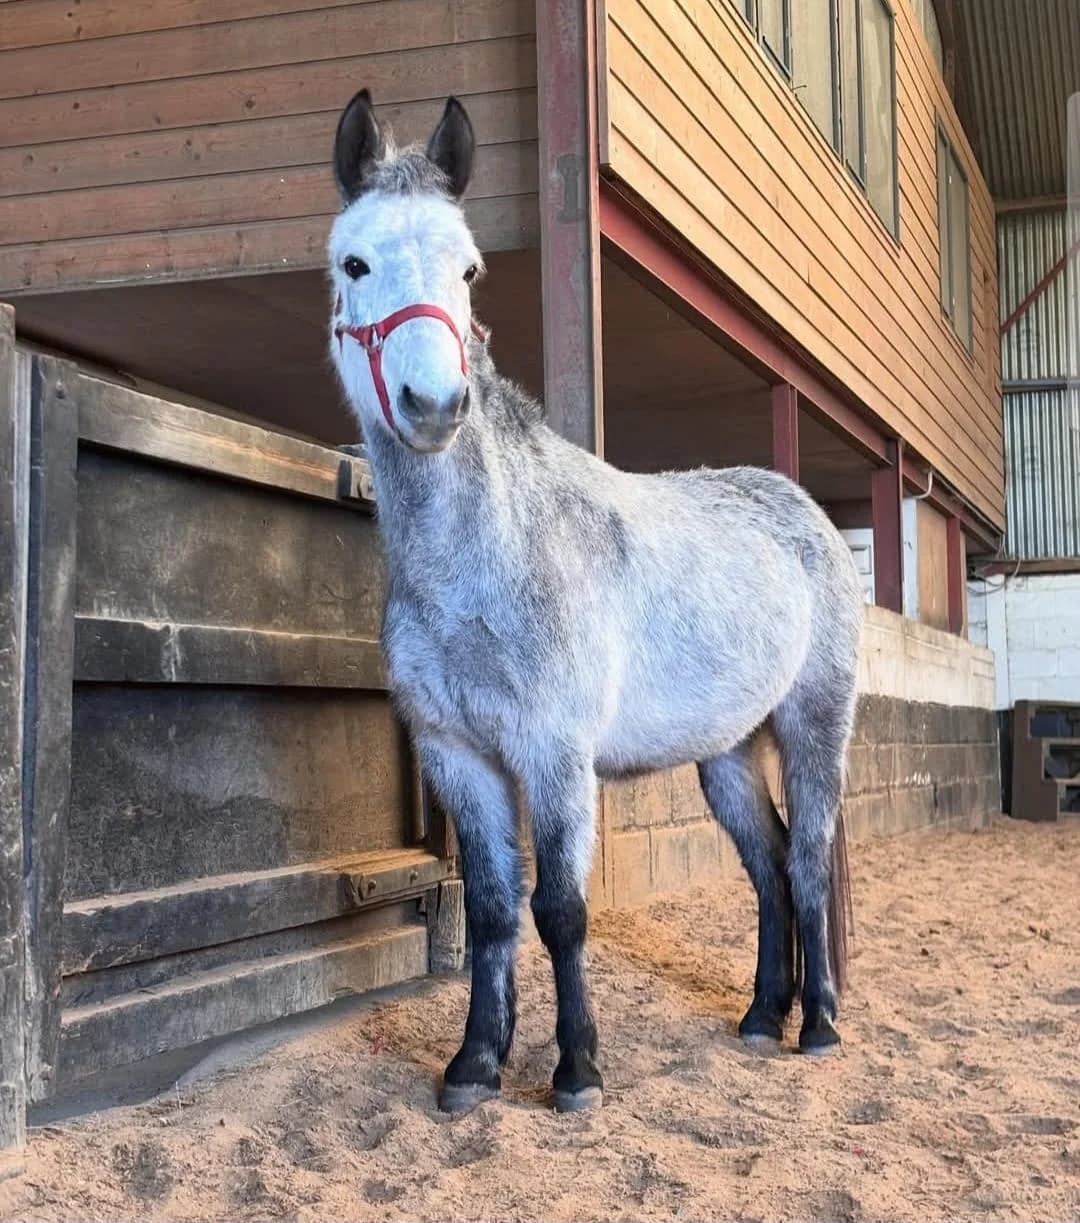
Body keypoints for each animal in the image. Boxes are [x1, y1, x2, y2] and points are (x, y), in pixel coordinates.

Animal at [327, 89, 863, 1114]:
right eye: (353, 263)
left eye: (470, 268)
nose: (433, 404)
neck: (485, 559)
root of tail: (809, 516)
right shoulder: (459, 756)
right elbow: (494, 911)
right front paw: (474, 1066)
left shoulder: (555, 755)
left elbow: (561, 910)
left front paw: (576, 1070)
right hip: (725, 752)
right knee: (770, 867)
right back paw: (757, 1017)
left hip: (814, 722)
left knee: (809, 859)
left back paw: (816, 1023)